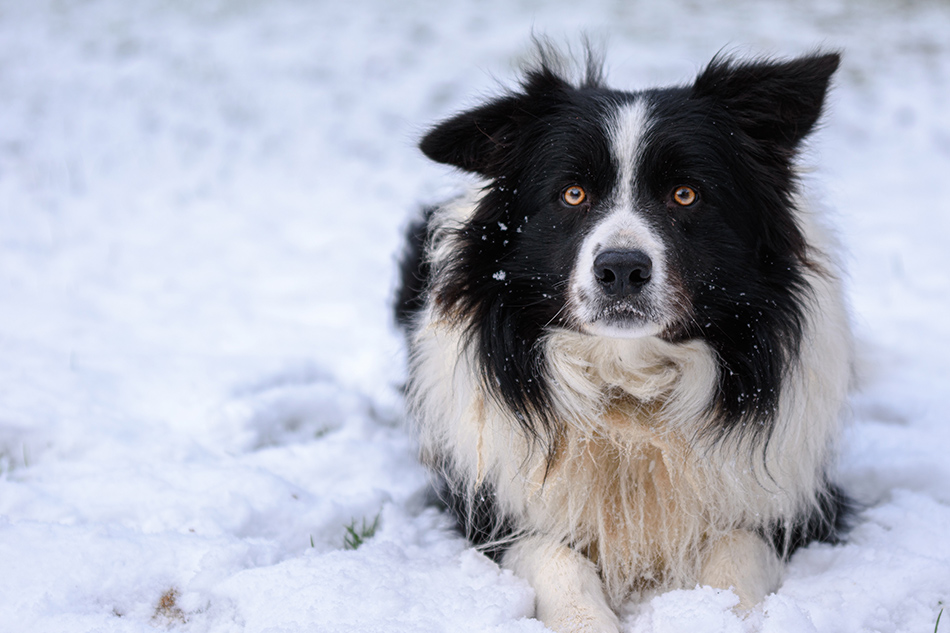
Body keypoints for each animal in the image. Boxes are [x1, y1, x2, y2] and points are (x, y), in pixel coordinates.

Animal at [394, 45, 856, 632]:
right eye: (573, 194)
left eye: (686, 194)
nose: (620, 270)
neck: (629, 389)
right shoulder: (489, 509)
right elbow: (554, 557)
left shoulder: (797, 505)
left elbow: (735, 549)